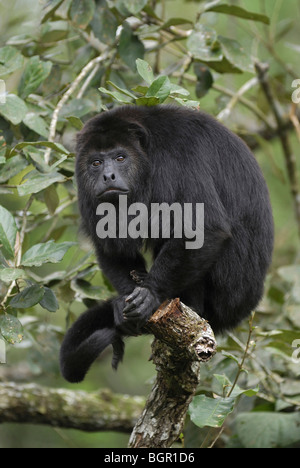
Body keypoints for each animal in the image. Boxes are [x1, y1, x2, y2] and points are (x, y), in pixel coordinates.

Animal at [59, 104, 274, 382]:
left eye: (120, 158)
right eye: (95, 162)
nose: (107, 175)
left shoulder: (178, 156)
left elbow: (203, 228)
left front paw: (151, 294)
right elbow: (111, 245)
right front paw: (123, 305)